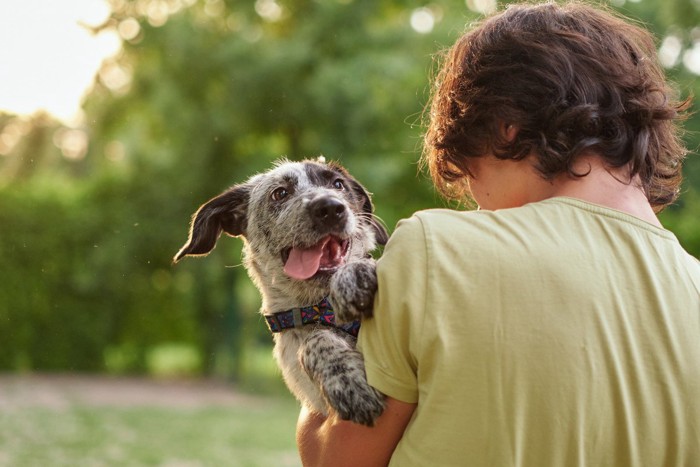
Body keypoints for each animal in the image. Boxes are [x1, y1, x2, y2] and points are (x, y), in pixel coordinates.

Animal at [172, 158, 386, 428]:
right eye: (280, 193)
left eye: (338, 184)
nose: (329, 208)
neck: (322, 308)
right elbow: (315, 340)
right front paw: (348, 381)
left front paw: (354, 276)